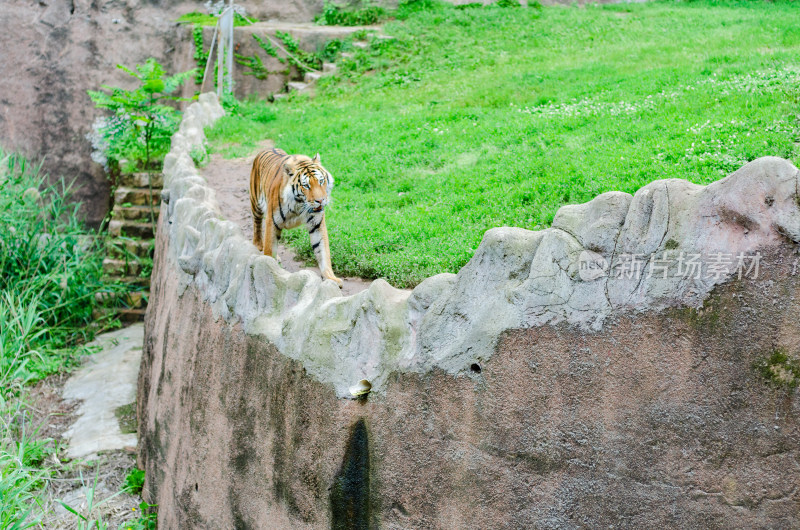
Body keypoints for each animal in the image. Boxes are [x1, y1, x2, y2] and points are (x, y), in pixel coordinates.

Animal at [250, 146, 344, 286]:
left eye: (321, 181)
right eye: (306, 185)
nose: (320, 200)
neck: (299, 205)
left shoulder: (316, 224)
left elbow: (323, 250)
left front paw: (331, 277)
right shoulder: (272, 221)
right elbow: (269, 248)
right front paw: (267, 269)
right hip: (256, 203)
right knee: (257, 224)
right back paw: (258, 245)